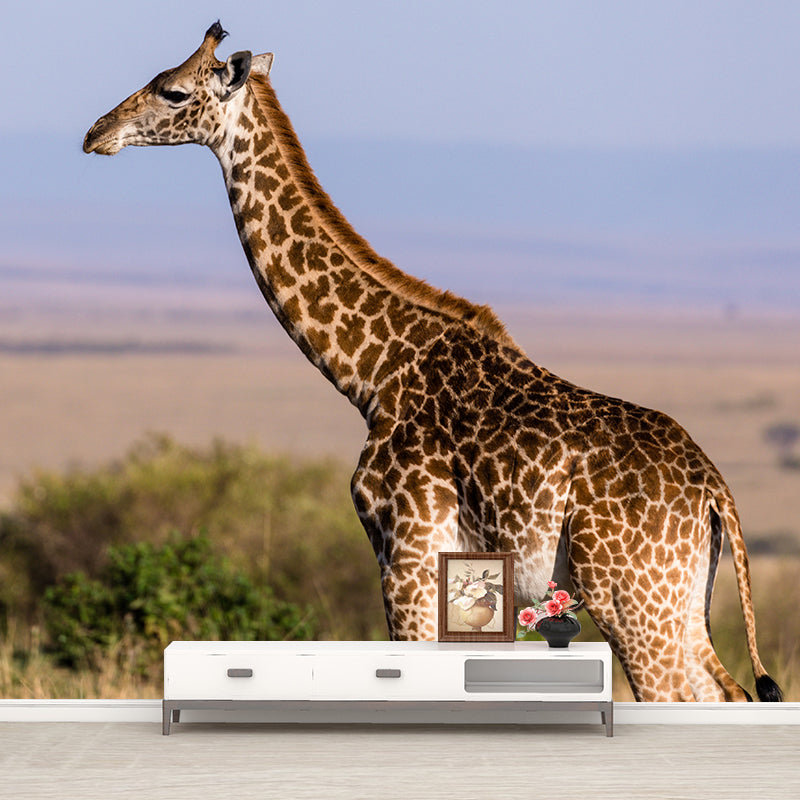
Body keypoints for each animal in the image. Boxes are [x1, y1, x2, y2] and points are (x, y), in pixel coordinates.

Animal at [83, 23, 782, 702]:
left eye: (173, 90)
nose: (96, 133)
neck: (371, 374)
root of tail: (715, 491)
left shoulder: (407, 557)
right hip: (682, 604)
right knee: (729, 694)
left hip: (634, 602)